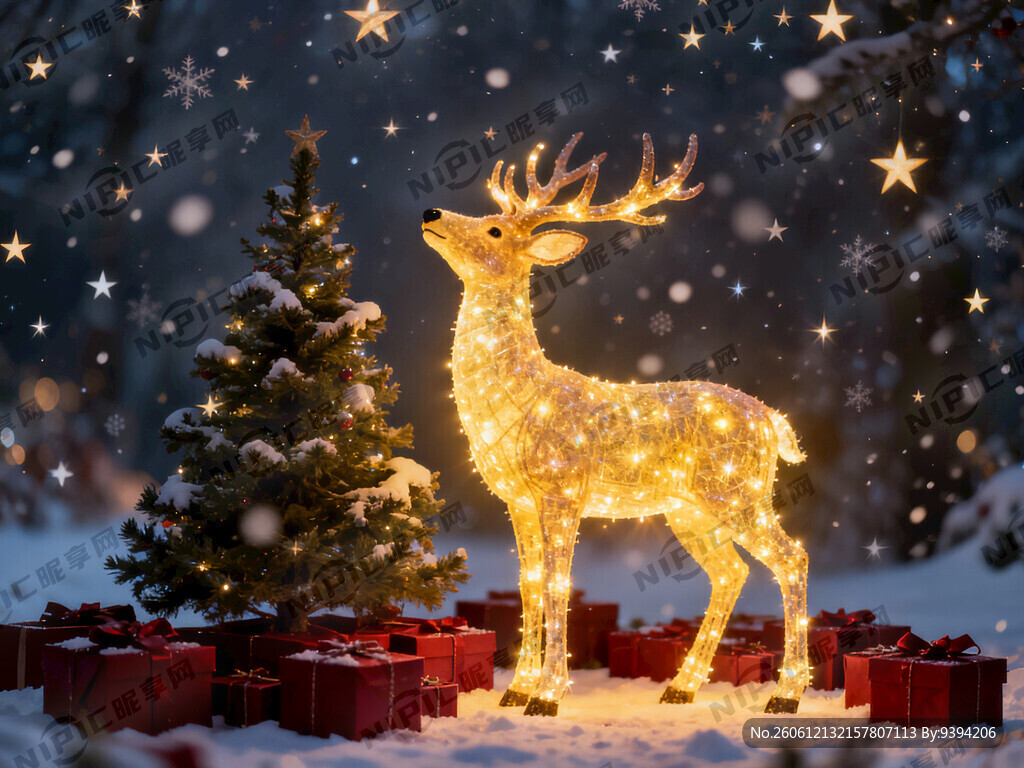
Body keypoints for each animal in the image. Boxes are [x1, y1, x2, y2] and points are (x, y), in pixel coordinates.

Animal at [421, 132, 809, 717]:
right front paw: (516, 690)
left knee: (792, 557)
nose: (431, 213)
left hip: (737, 490)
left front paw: (548, 696)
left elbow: (558, 585)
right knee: (731, 571)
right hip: (690, 507)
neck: (521, 400)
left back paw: (786, 695)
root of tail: (771, 419)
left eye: (494, 229)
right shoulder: (517, 498)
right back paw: (682, 686)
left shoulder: (563, 486)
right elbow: (528, 584)